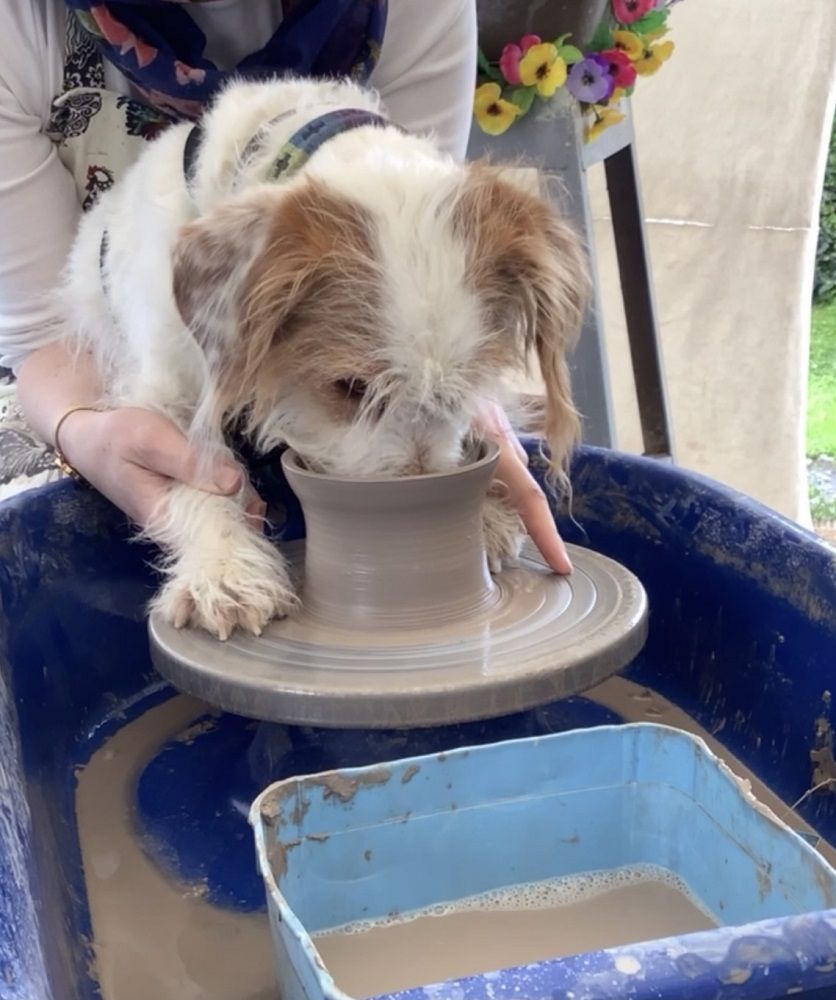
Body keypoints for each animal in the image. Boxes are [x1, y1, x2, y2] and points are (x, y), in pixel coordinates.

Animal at [60, 78, 588, 640]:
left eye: (467, 384)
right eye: (351, 388)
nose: (414, 525)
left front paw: (484, 513)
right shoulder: (167, 395)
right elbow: (195, 475)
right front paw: (226, 572)